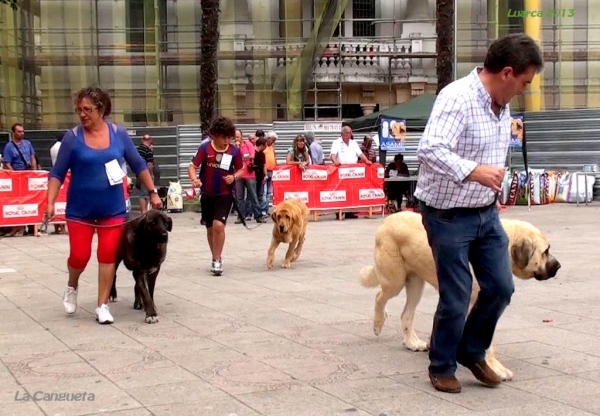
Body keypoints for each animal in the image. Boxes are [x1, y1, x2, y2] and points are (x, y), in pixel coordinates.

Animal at [358, 211, 560, 380]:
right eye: (545, 251)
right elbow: (487, 342)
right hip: (395, 280)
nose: (558, 266)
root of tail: (386, 220)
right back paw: (378, 324)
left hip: (415, 283)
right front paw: (494, 368)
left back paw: (412, 343)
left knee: (406, 314)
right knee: (379, 296)